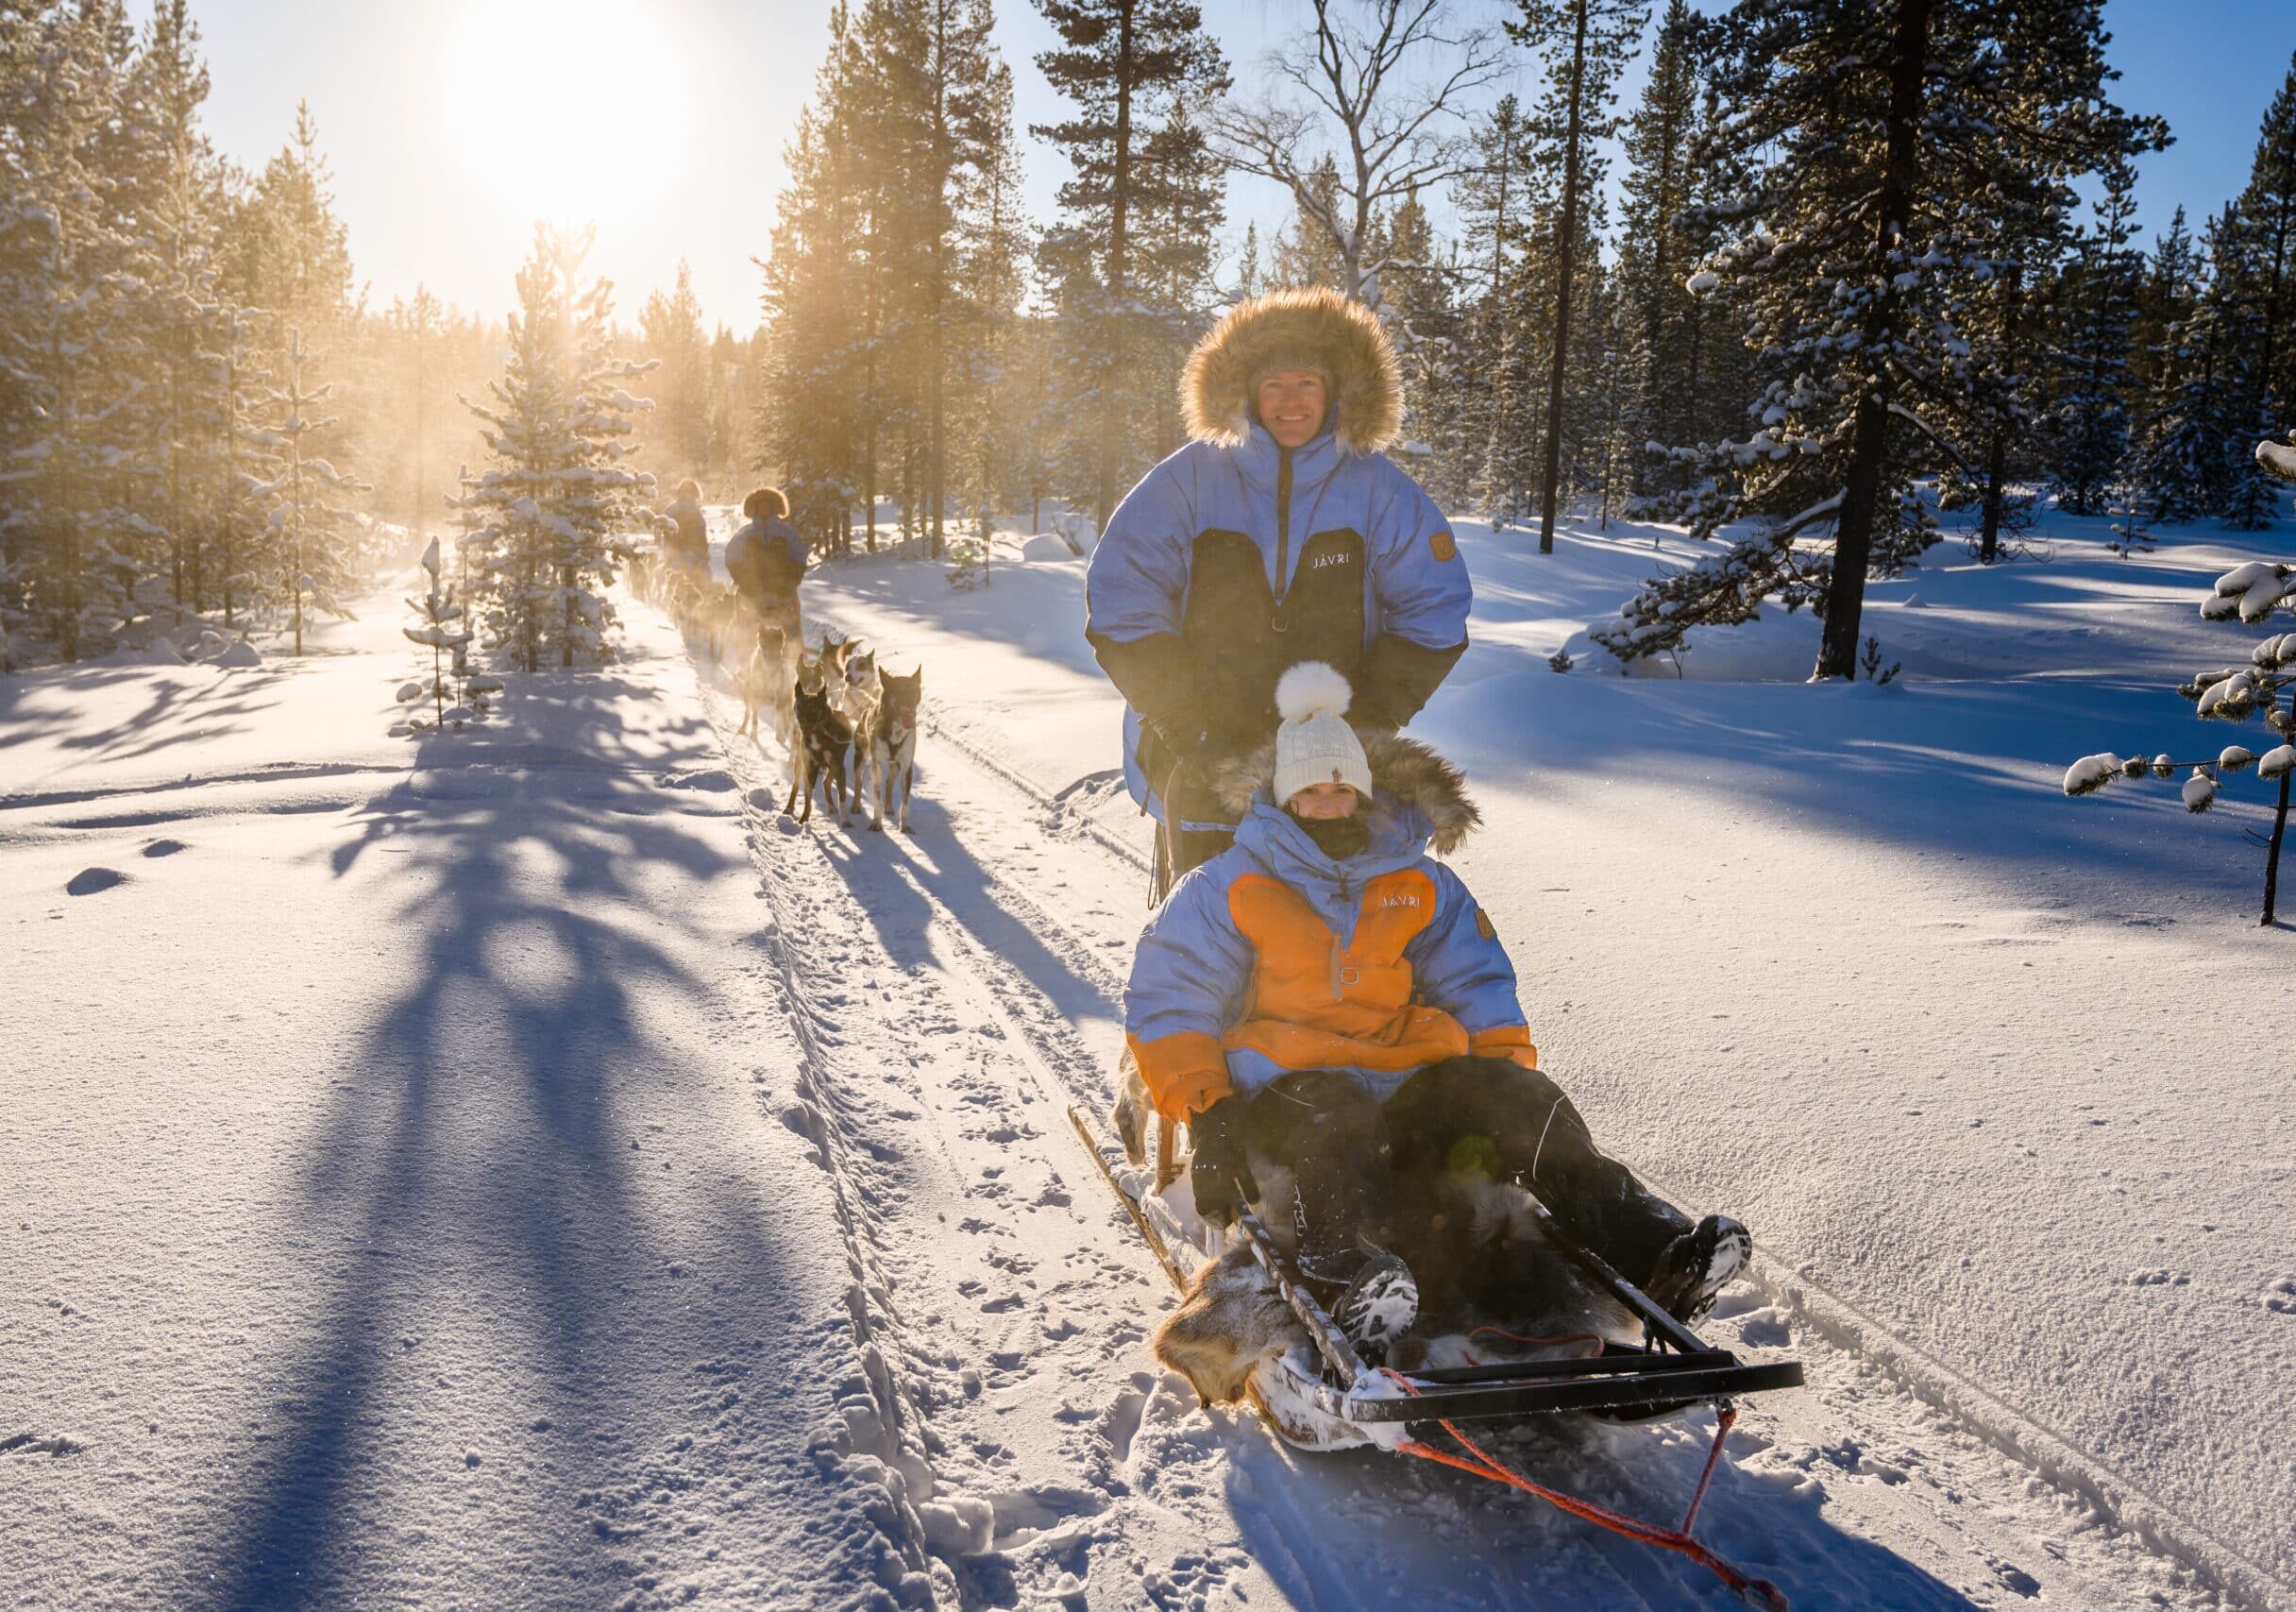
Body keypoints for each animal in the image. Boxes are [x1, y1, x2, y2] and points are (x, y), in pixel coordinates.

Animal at [863, 666, 922, 836]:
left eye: (914, 691)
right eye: (900, 691)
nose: (910, 704)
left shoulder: (907, 768)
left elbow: (905, 803)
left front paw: (905, 825)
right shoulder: (877, 765)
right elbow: (877, 799)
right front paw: (877, 822)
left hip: (896, 766)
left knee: (889, 783)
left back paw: (889, 807)